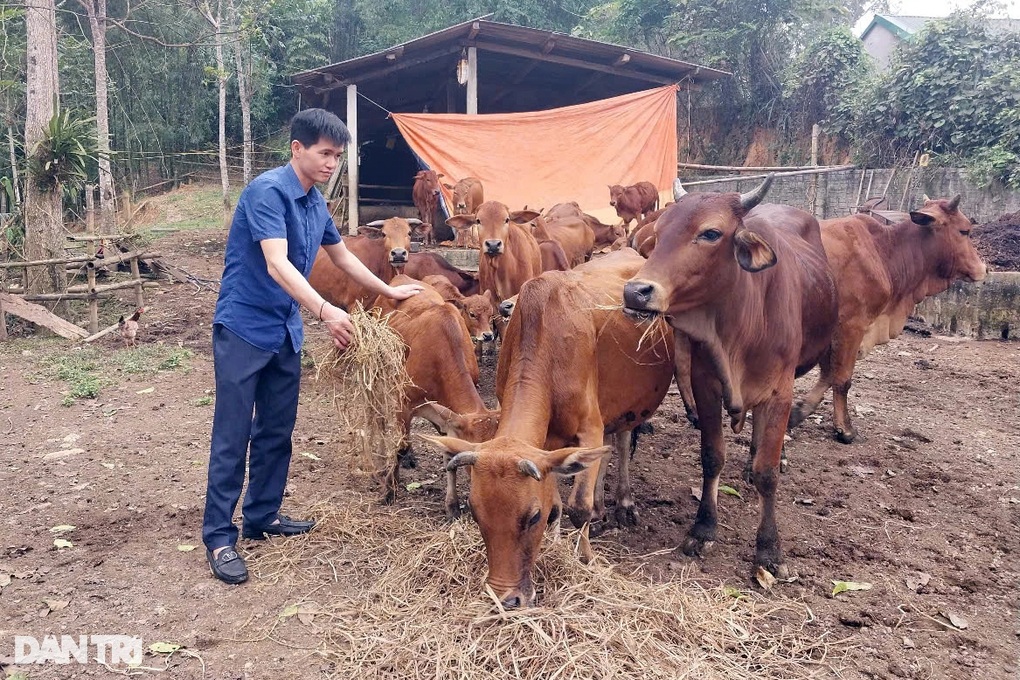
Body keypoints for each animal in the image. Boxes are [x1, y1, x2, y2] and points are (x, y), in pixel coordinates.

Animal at [375, 273, 501, 513]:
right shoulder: (404, 402)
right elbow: (400, 447)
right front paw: (389, 489)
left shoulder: (449, 416)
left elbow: (448, 453)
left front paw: (452, 505)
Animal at [620, 175, 836, 579]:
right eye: (660, 230)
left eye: (710, 233)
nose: (636, 292)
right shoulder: (705, 385)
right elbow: (712, 456)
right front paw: (703, 528)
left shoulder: (780, 392)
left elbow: (768, 473)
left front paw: (769, 549)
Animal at [787, 193, 987, 444]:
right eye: (964, 231)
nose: (983, 268)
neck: (882, 250)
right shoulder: (852, 326)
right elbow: (842, 378)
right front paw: (845, 429)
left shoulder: (830, 332)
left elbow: (828, 373)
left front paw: (799, 412)